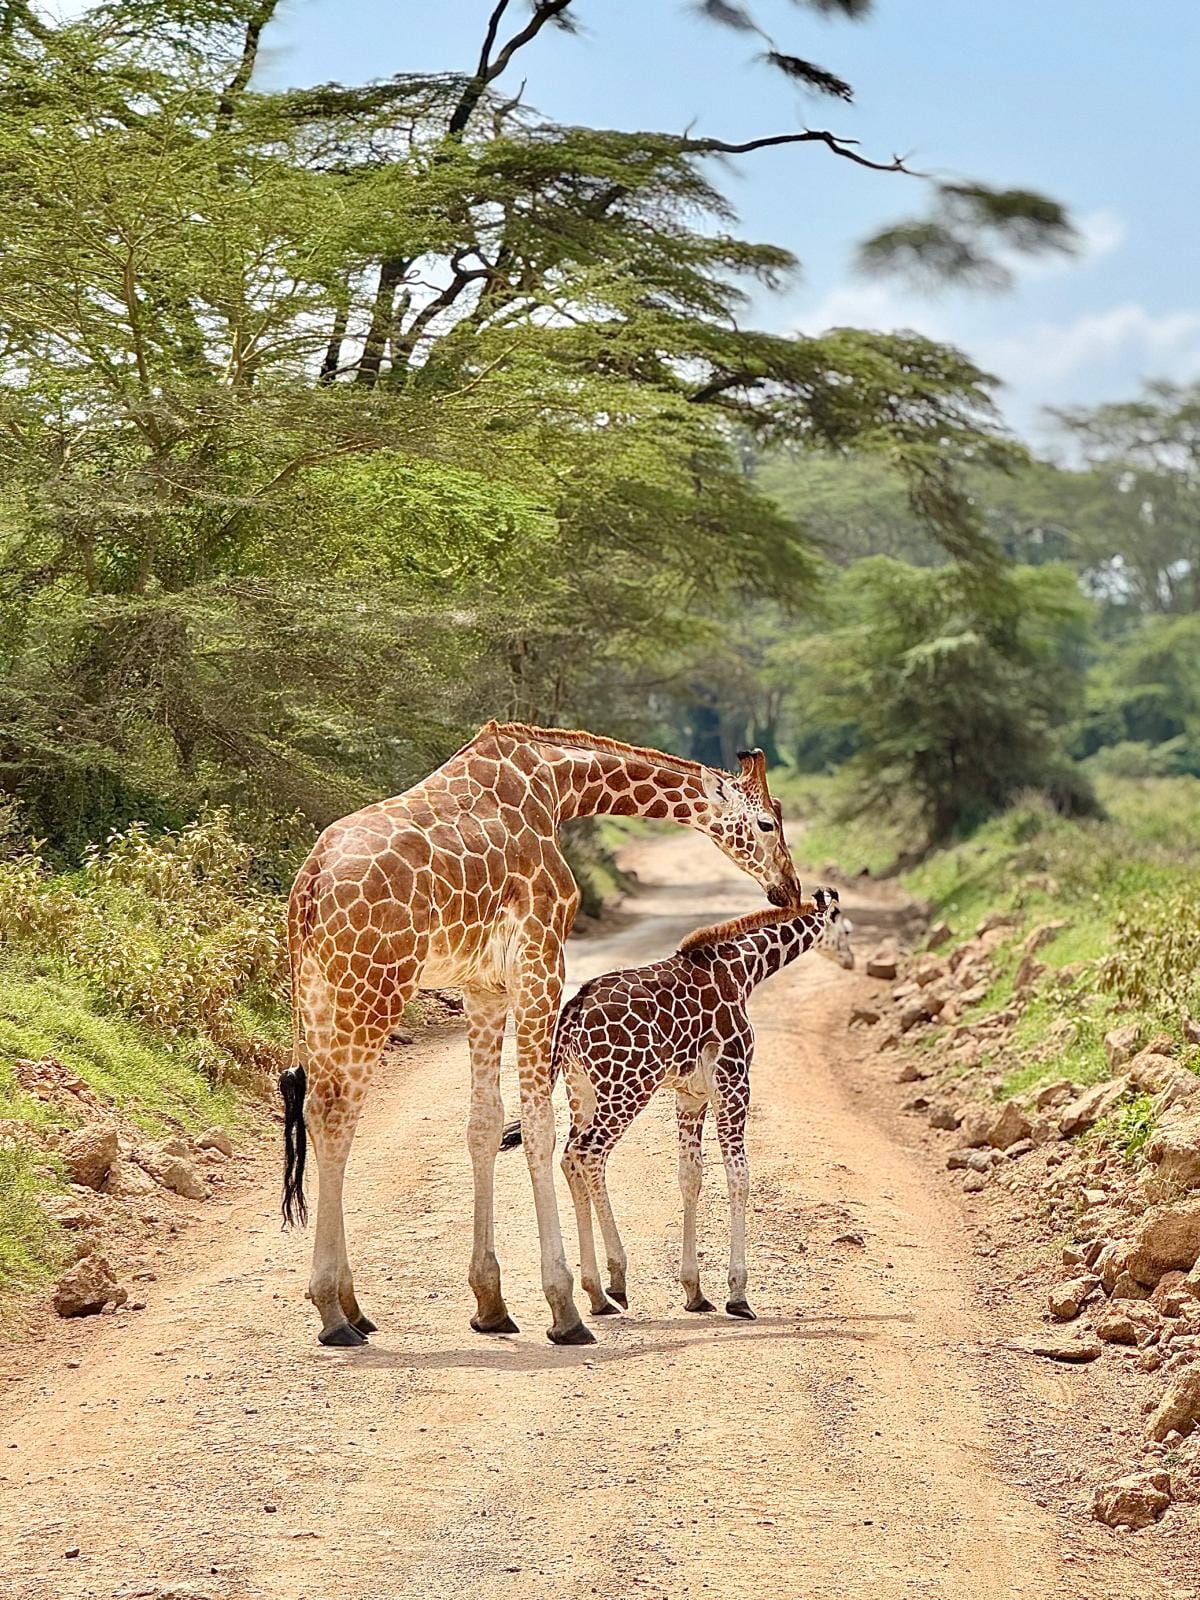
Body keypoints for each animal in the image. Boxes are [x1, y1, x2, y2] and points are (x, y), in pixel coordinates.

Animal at [279, 720, 801, 1348]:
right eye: (767, 822)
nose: (789, 887)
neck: (556, 787)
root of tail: (307, 891)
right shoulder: (541, 959)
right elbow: (540, 1129)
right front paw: (565, 1308)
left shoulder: (483, 984)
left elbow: (484, 1125)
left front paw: (491, 1304)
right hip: (374, 988)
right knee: (336, 1115)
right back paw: (333, 1315)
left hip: (318, 992)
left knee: (319, 1113)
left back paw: (352, 1308)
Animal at [506, 889, 852, 1322]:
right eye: (847, 929)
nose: (852, 960)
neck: (744, 969)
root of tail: (573, 1012)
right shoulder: (734, 1081)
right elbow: (739, 1176)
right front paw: (737, 1294)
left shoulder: (690, 1095)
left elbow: (690, 1176)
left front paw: (694, 1291)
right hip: (626, 1088)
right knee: (589, 1154)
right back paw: (609, 1285)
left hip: (580, 1088)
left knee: (570, 1156)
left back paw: (598, 1291)